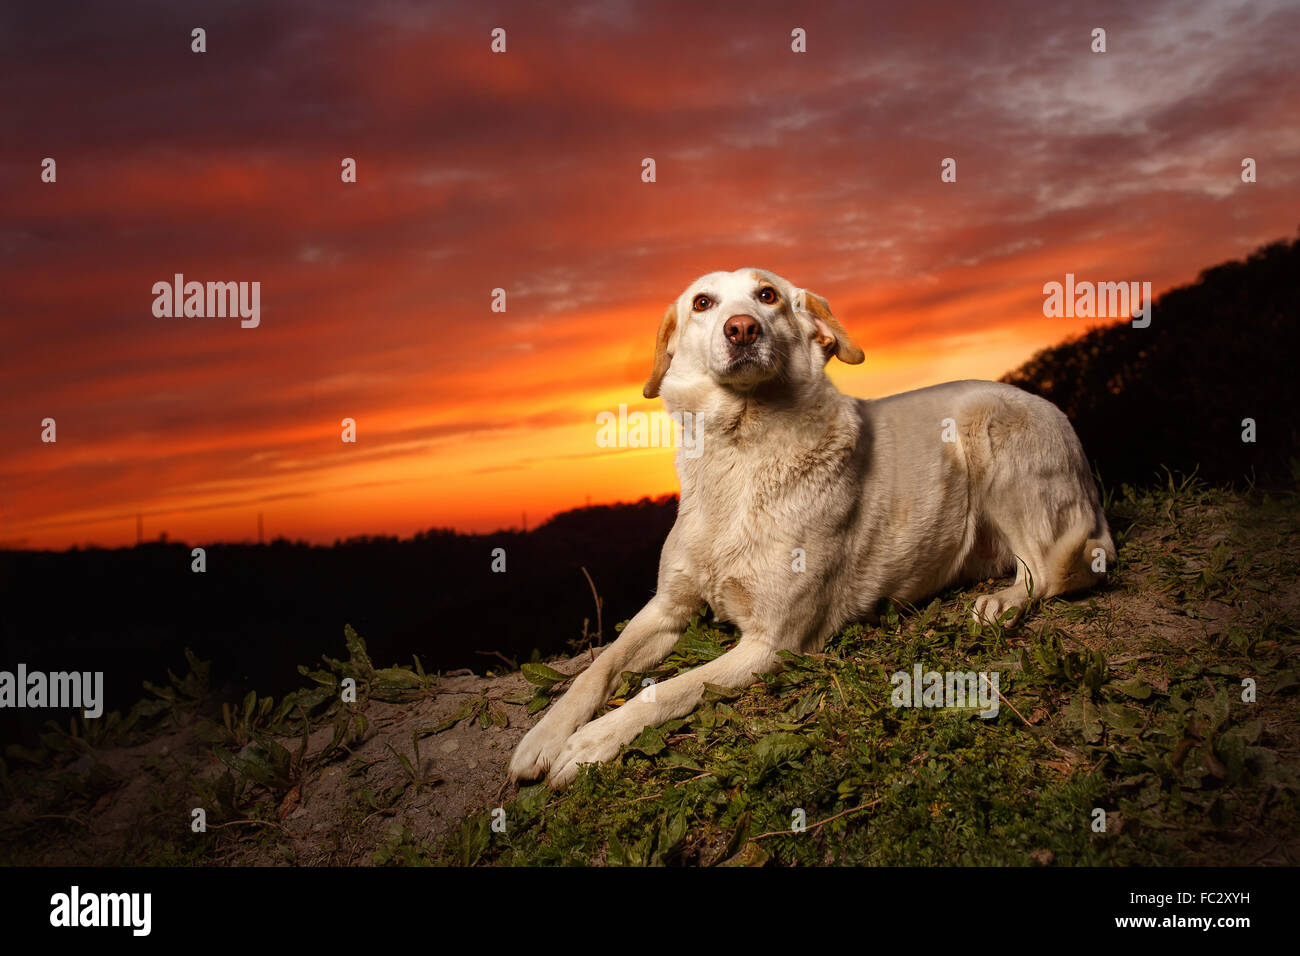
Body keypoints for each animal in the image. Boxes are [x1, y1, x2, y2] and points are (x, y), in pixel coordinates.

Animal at [506, 267, 1118, 785]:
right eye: (703, 302)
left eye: (767, 295)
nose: (742, 328)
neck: (742, 455)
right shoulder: (667, 608)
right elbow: (598, 668)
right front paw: (543, 737)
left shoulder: (774, 643)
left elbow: (672, 689)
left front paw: (590, 743)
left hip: (991, 433)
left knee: (1048, 572)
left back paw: (1002, 602)